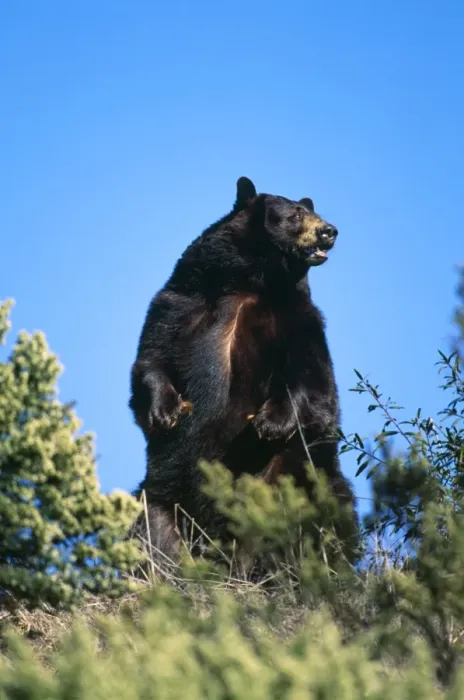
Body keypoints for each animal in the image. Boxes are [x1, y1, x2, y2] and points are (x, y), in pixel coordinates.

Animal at [129, 176, 359, 566]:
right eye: (296, 213)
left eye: (309, 210)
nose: (330, 231)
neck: (252, 283)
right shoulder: (179, 302)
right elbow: (151, 360)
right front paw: (166, 410)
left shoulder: (302, 322)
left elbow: (316, 386)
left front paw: (271, 421)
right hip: (161, 497)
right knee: (149, 529)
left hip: (300, 479)